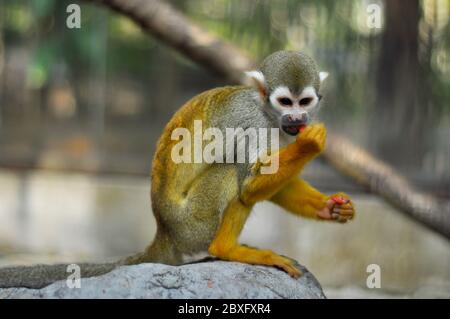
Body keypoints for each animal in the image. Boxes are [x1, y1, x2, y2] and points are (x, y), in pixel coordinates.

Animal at [0, 51, 354, 288]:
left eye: (304, 102)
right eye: (285, 102)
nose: (296, 119)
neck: (267, 112)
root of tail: (164, 232)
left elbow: (274, 182)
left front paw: (329, 208)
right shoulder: (253, 123)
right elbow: (249, 184)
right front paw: (310, 145)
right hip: (193, 222)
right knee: (230, 174)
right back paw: (226, 249)